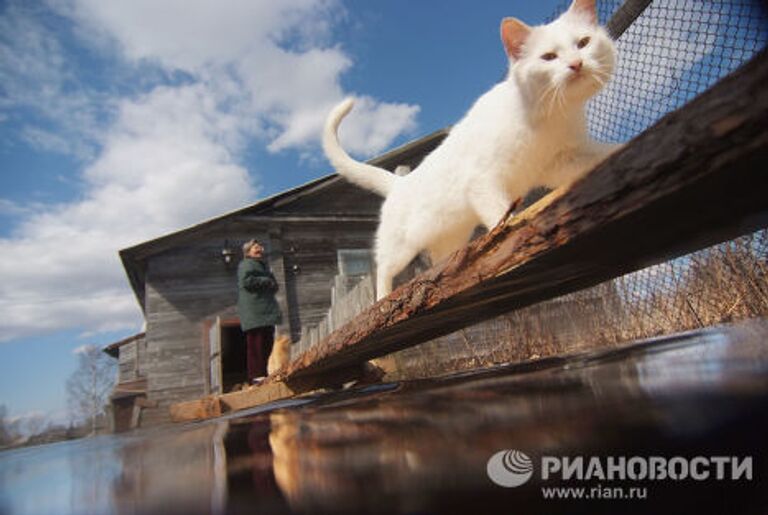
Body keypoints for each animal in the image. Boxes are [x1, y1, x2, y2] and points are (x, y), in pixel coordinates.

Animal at [322, 0, 616, 298]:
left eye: (583, 42)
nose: (576, 64)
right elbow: (503, 218)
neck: (549, 115)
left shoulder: (562, 161)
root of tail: (399, 182)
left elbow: (603, 154)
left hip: (447, 239)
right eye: (549, 57)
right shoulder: (483, 182)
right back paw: (383, 298)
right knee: (383, 270)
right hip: (399, 248)